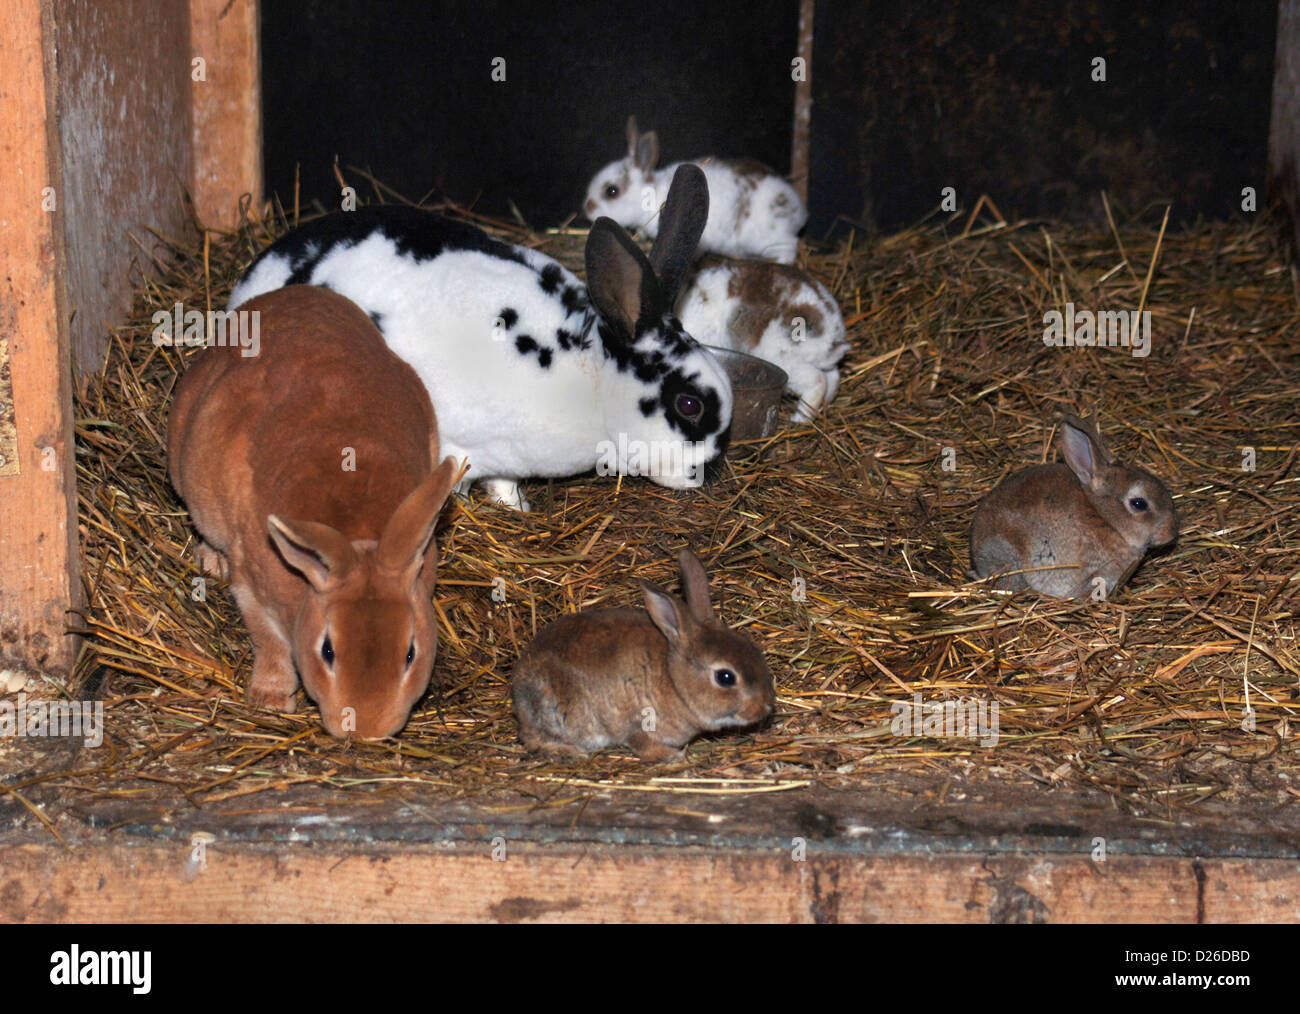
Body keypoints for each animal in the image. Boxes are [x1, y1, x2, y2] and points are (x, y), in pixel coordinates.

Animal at [167, 285, 460, 739]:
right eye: (328, 651)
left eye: (410, 653)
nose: (366, 729)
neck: (358, 534)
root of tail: (282, 296)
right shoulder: (252, 588)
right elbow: (269, 644)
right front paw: (270, 700)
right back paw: (210, 560)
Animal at [229, 165, 730, 513]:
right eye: (689, 405)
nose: (702, 474)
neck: (595, 377)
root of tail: (247, 287)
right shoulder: (457, 447)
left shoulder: (505, 459)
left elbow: (504, 485)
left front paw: (520, 509)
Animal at [512, 549, 775, 762]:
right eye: (726, 677)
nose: (764, 707)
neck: (674, 680)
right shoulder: (638, 725)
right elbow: (642, 744)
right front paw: (671, 756)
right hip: (555, 711)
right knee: (533, 740)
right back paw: (570, 752)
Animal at [583, 116, 807, 265]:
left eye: (611, 191)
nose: (587, 209)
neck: (653, 194)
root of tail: (798, 212)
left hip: (770, 238)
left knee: (789, 251)